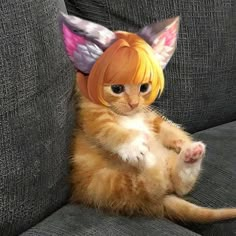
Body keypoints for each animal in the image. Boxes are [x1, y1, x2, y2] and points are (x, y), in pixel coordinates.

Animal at [70, 82, 236, 223]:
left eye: (143, 87)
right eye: (117, 88)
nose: (134, 103)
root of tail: (162, 199)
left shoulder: (151, 118)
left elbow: (166, 129)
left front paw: (183, 141)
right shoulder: (92, 119)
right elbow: (110, 132)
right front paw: (133, 146)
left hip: (166, 159)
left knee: (179, 186)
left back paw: (190, 155)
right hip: (109, 184)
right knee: (154, 185)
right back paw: (146, 158)